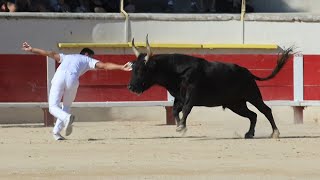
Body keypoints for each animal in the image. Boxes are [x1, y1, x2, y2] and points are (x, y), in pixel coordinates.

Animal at [127, 37, 292, 139]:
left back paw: (275, 133)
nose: (131, 87)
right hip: (235, 104)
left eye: (143, 70)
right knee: (253, 115)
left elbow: (186, 109)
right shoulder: (179, 97)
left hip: (253, 95)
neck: (177, 72)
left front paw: (181, 127)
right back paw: (249, 134)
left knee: (265, 110)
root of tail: (248, 72)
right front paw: (180, 126)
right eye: (133, 68)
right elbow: (175, 110)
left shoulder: (191, 94)